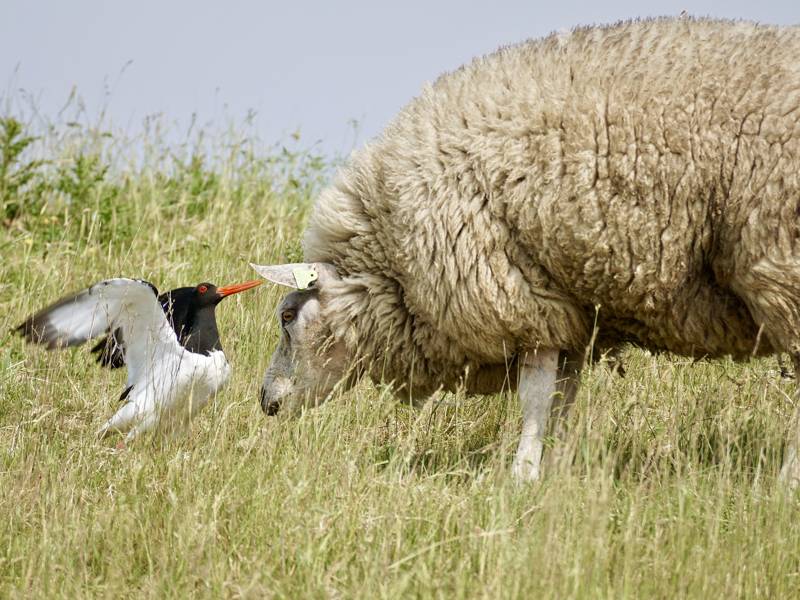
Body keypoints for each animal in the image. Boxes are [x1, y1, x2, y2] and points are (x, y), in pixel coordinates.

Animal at [253, 16, 800, 486]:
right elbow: (561, 395)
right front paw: (553, 468)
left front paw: (522, 473)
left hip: (781, 263)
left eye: (287, 316)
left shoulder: (520, 297)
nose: (265, 401)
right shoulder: (569, 309)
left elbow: (535, 395)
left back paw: (785, 482)